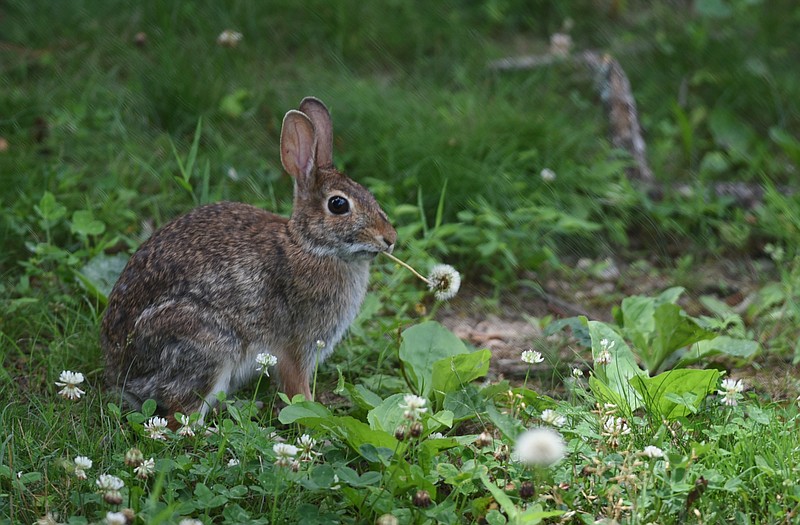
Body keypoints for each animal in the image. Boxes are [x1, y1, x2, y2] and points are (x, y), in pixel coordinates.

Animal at [100, 97, 396, 426]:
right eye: (339, 204)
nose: (390, 238)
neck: (310, 246)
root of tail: (124, 377)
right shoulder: (295, 347)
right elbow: (297, 390)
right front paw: (316, 413)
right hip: (208, 349)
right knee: (182, 418)